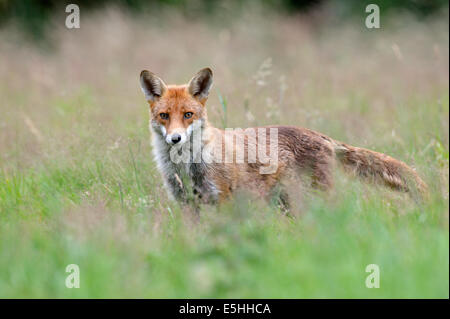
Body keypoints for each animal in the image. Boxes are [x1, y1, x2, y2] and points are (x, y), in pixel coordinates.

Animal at [139, 68, 428, 208]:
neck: (185, 166)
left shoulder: (221, 198)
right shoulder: (187, 204)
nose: (175, 139)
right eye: (164, 116)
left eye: (188, 115)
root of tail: (321, 135)